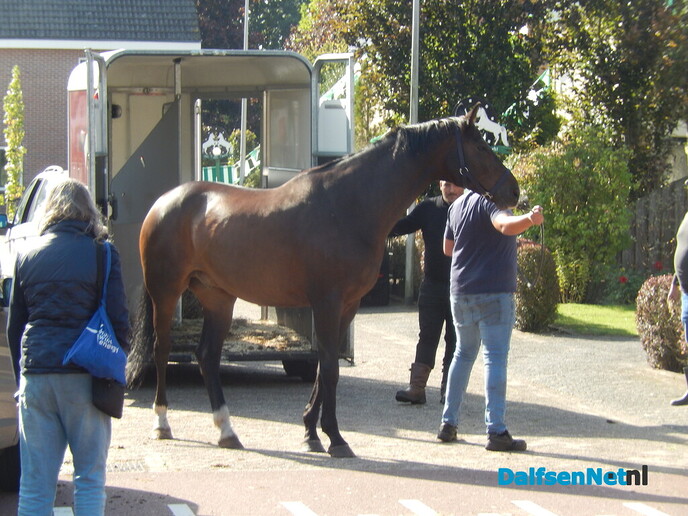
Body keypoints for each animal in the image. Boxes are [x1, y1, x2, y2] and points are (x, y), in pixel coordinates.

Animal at [126, 104, 520, 458]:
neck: (347, 206)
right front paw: (335, 438)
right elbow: (329, 369)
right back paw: (162, 424)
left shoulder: (347, 306)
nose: (514, 191)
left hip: (218, 298)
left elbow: (324, 367)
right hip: (166, 292)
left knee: (207, 356)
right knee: (161, 350)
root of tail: (164, 203)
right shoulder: (327, 303)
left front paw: (311, 433)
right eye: (481, 147)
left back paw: (227, 432)